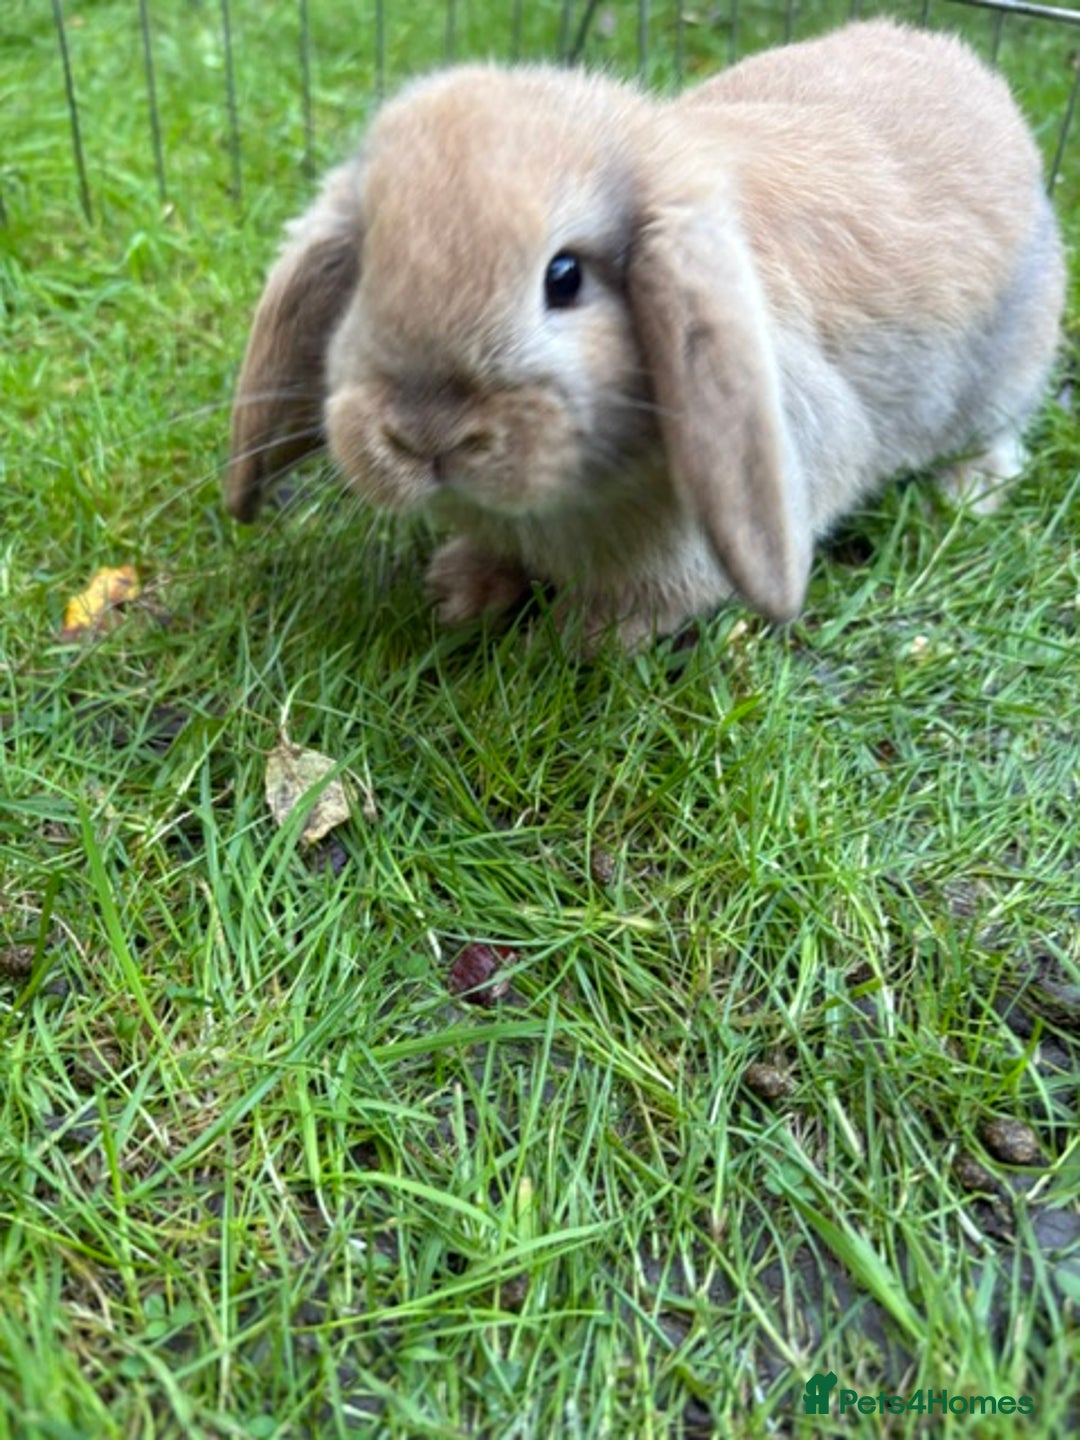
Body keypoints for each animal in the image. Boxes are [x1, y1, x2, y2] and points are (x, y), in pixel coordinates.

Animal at [226, 19, 1065, 648]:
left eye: (565, 277)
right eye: (364, 268)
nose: (426, 436)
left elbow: (640, 607)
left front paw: (569, 639)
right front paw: (458, 592)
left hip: (1006, 378)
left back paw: (966, 492)